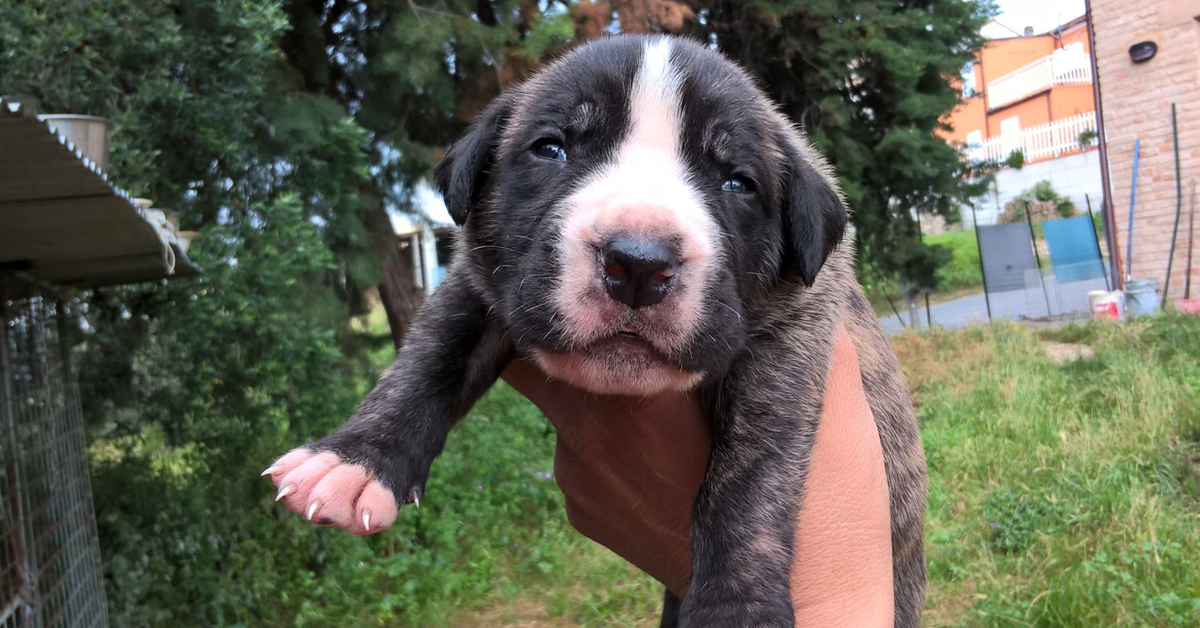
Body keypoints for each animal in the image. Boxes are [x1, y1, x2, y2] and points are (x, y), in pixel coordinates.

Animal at [270, 35, 926, 628]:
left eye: (738, 183)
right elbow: (430, 358)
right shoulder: (480, 283)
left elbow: (753, 475)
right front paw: (356, 459)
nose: (638, 263)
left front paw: (736, 608)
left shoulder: (791, 342)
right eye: (551, 149)